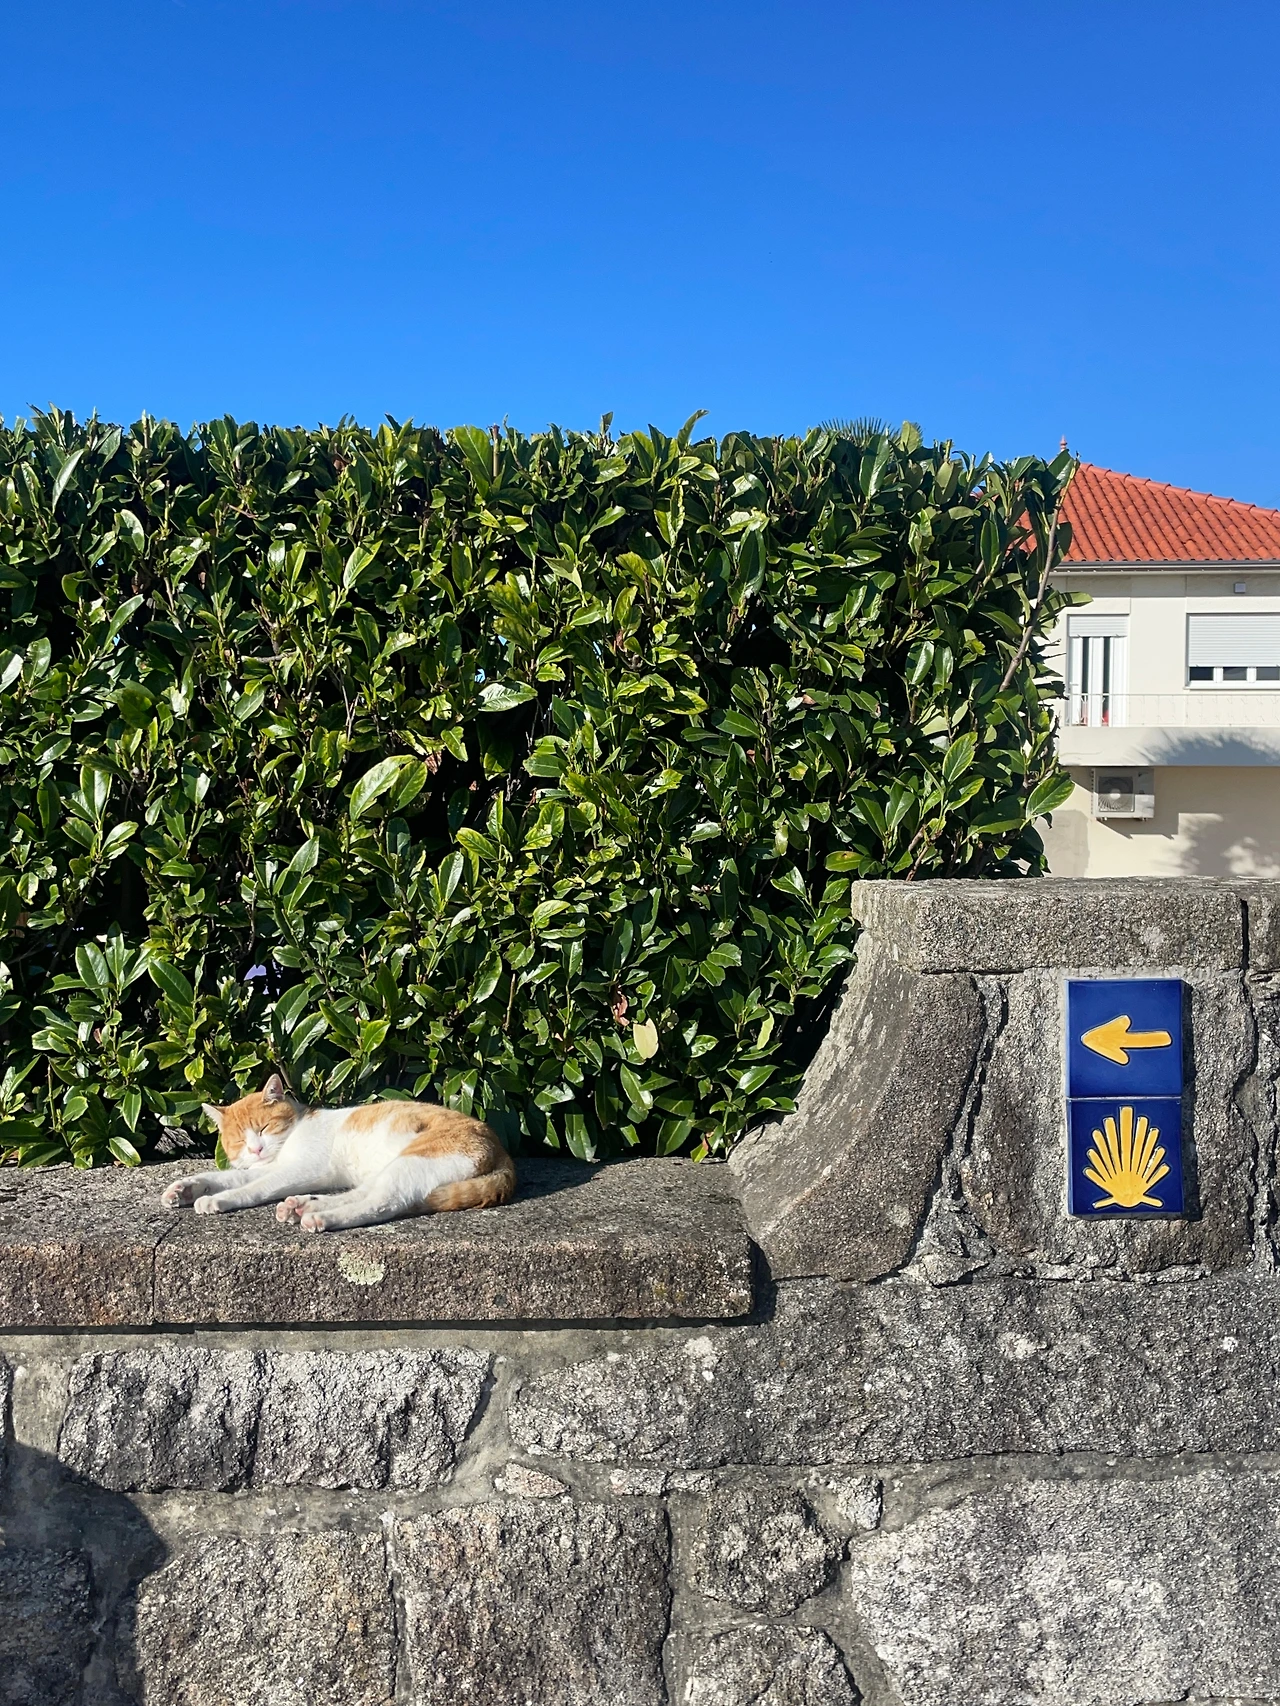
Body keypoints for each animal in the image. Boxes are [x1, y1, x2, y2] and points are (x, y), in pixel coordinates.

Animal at [160, 1074, 516, 1232]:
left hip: (414, 1161)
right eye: (237, 1141)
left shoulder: (297, 1170)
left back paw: (320, 1217)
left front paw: (218, 1200)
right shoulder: (270, 1167)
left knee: (381, 1204)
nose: (256, 1148)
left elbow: (252, 1188)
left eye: (263, 1128)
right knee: (365, 1193)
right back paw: (302, 1206)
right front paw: (186, 1188)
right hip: (393, 1167)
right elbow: (226, 1176)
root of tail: (502, 1151)